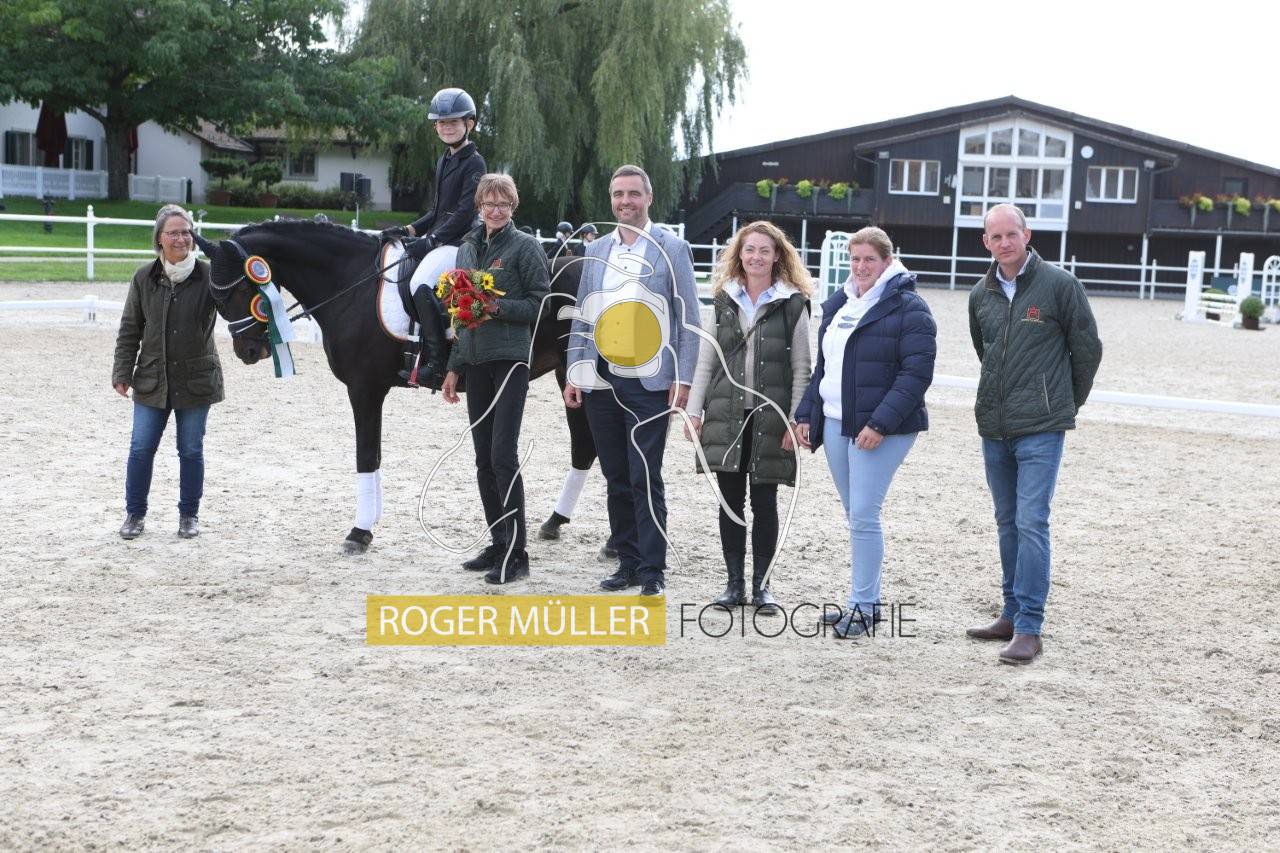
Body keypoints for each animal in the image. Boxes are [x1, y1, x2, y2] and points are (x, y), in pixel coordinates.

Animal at [197, 218, 593, 554]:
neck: (350, 283)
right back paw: (555, 522)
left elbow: (365, 455)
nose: (248, 352)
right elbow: (374, 456)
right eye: (215, 299)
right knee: (585, 449)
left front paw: (359, 532)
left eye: (238, 290)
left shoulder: (364, 388)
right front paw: (370, 522)